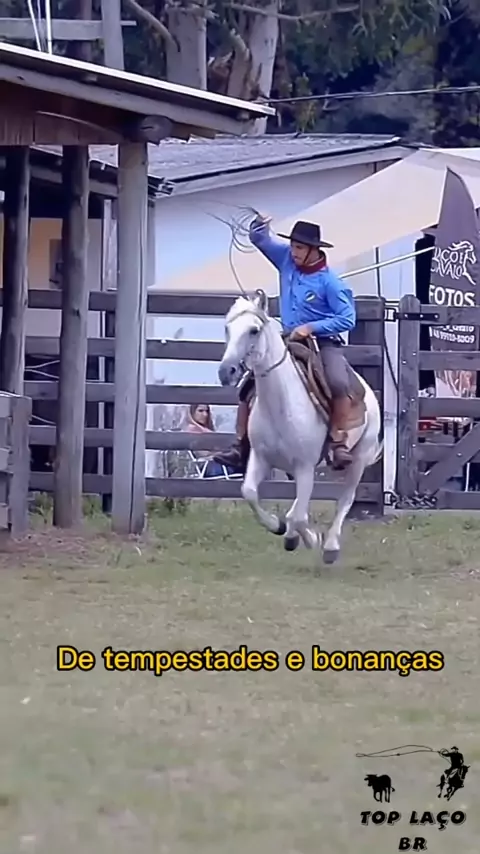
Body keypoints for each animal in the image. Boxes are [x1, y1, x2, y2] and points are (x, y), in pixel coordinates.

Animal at [217, 290, 383, 565]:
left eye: (253, 330)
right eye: (227, 328)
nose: (226, 371)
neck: (280, 404)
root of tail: (367, 391)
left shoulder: (305, 466)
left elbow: (298, 514)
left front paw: (308, 539)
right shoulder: (261, 458)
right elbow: (250, 492)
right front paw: (279, 527)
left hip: (358, 460)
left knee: (345, 500)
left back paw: (330, 546)